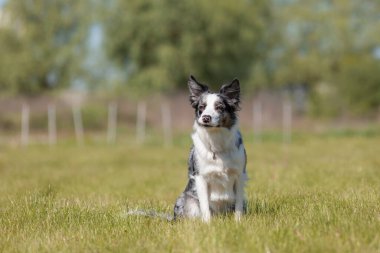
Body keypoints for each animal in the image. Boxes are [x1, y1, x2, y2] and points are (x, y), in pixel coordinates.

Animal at [174, 75, 248, 221]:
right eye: (201, 107)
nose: (206, 118)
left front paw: (238, 222)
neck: (216, 141)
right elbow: (205, 206)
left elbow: (238, 205)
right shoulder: (201, 178)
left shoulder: (239, 175)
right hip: (188, 201)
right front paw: (208, 223)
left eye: (219, 107)